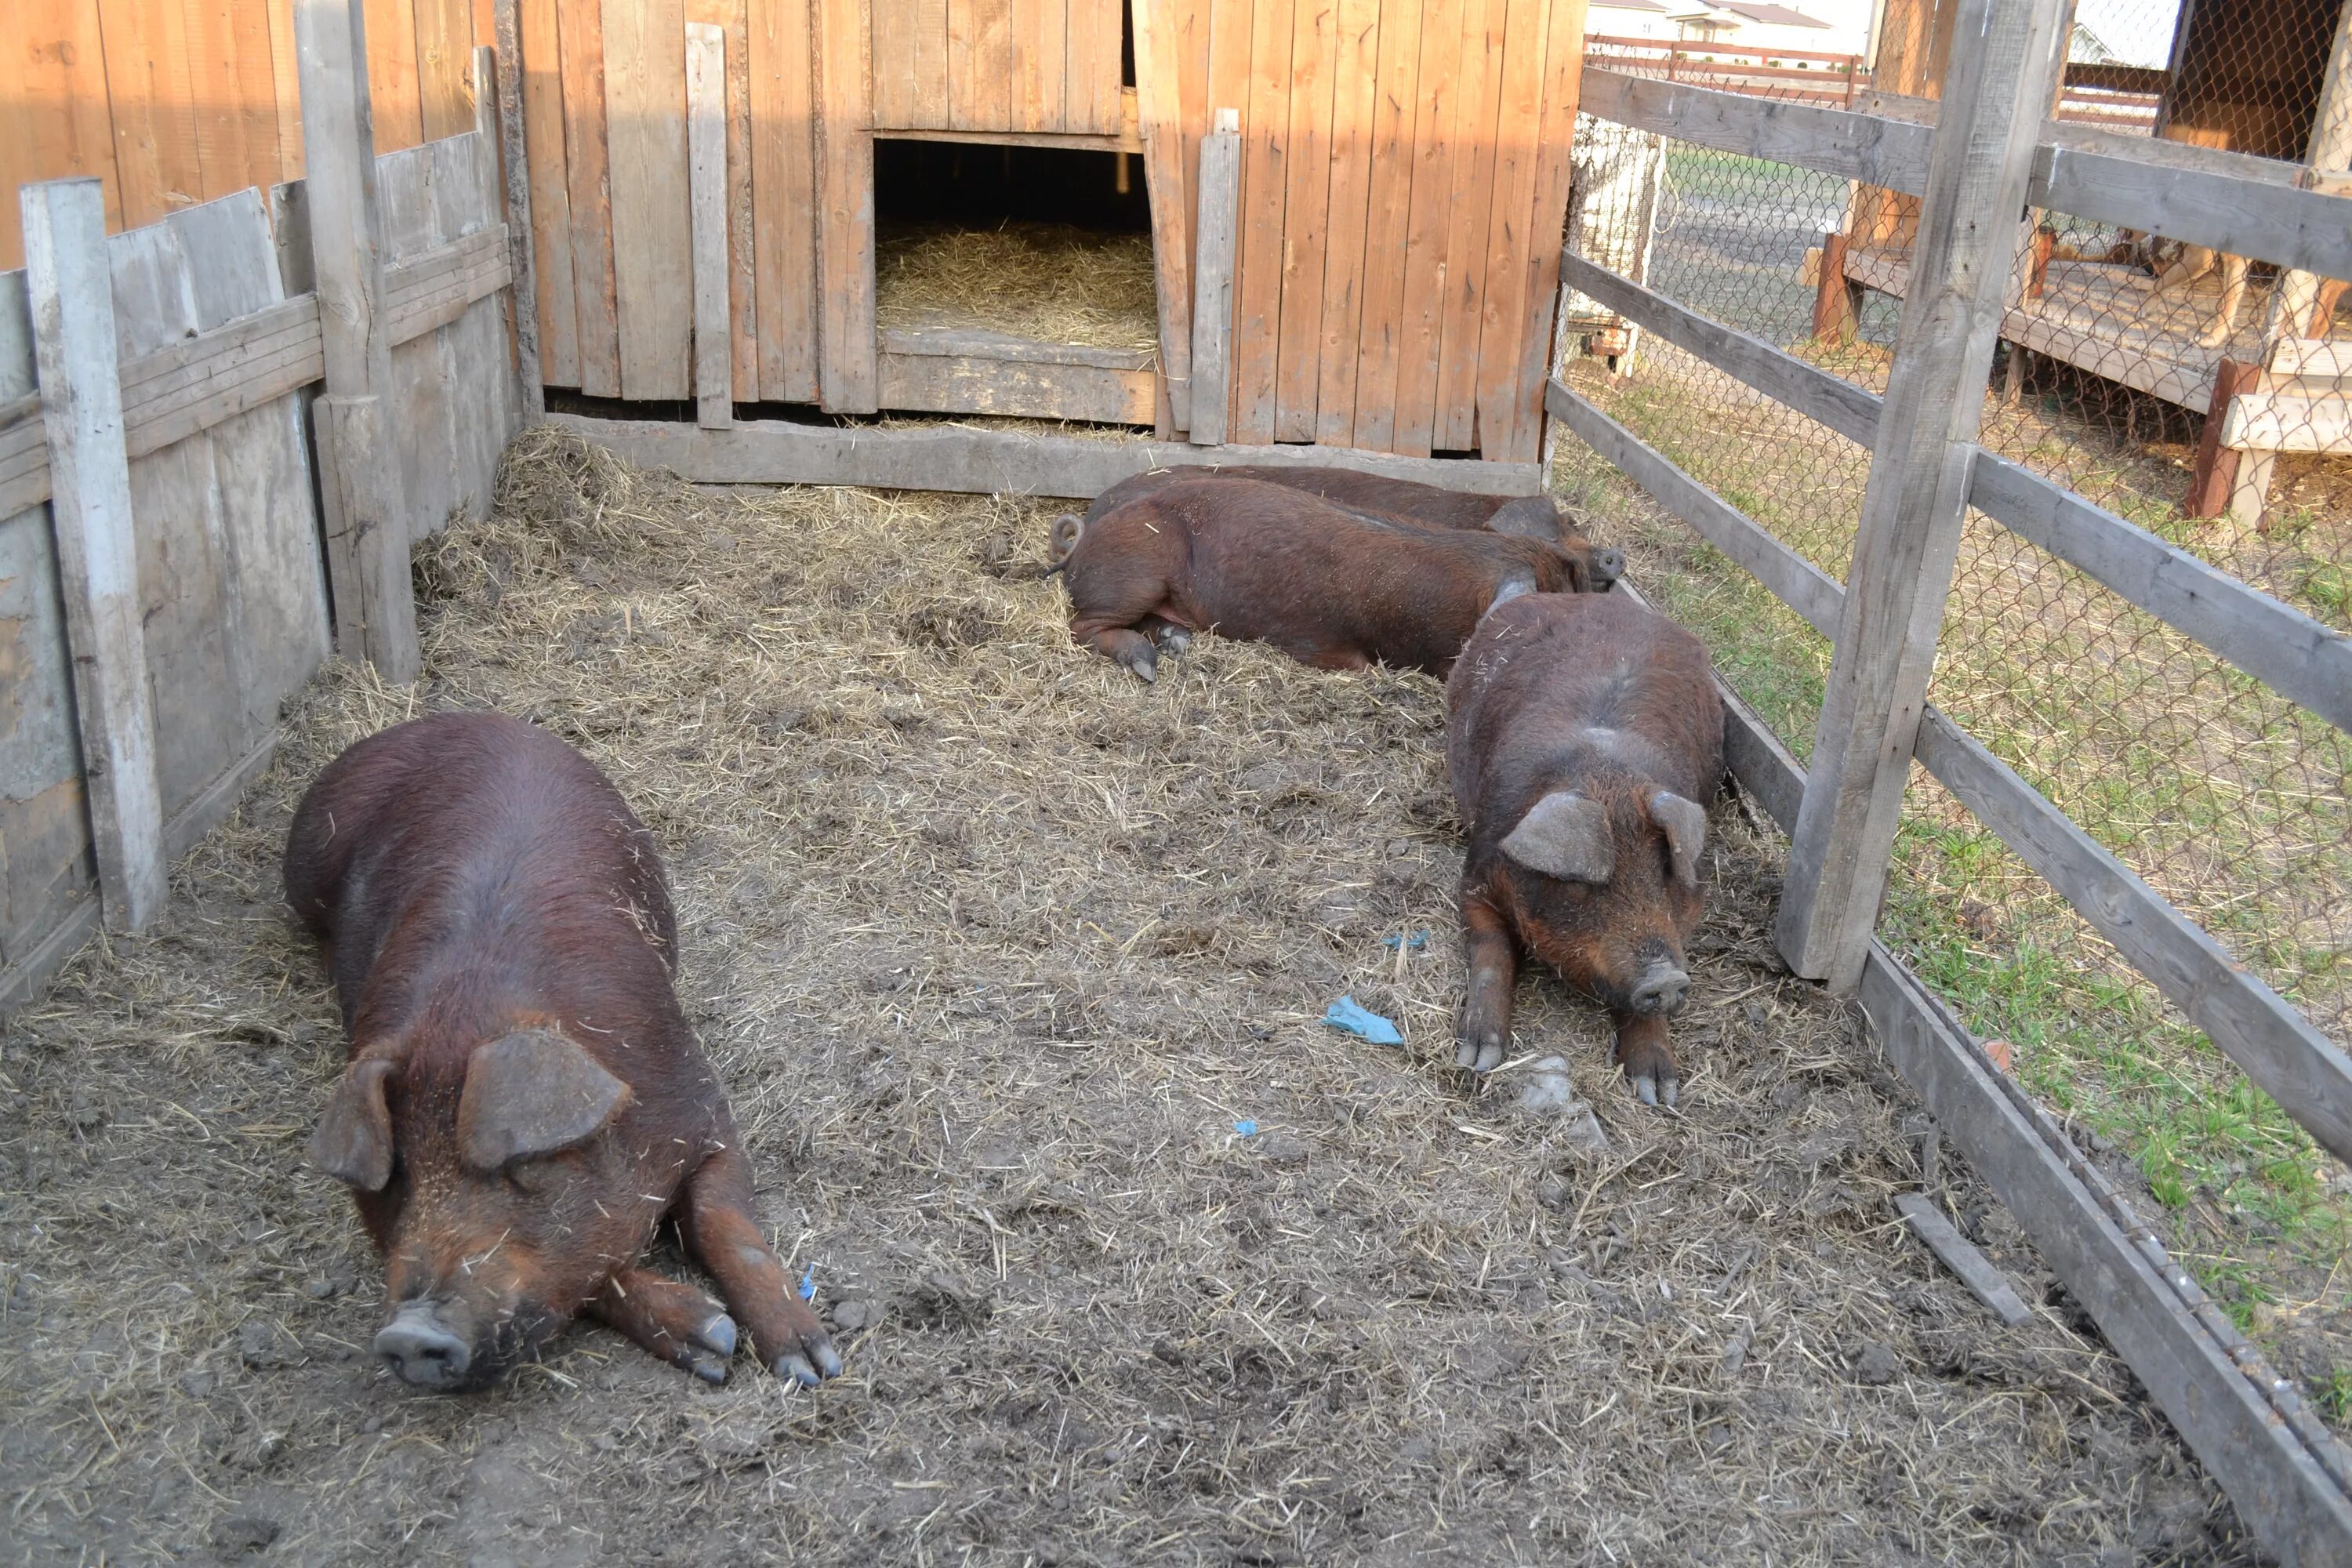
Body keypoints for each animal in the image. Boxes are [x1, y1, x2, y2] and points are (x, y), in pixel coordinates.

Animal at [285, 719, 842, 1392]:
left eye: (520, 1165)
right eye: (397, 1178)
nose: (410, 1336)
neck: (463, 1015)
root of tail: (424, 722)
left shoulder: (704, 1108)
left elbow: (725, 1222)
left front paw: (809, 1364)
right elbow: (589, 1272)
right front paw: (712, 1340)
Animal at [1058, 472, 1609, 681]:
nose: (1611, 560)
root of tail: (1081, 542)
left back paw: (1177, 643)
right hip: (1137, 572)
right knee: (1082, 626)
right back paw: (1147, 664)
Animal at [1439, 594, 1722, 1109]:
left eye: (1666, 871)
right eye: (1580, 883)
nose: (1666, 979)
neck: (1608, 776)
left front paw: (1659, 1091)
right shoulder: (1476, 875)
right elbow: (1492, 949)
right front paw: (1477, 1058)